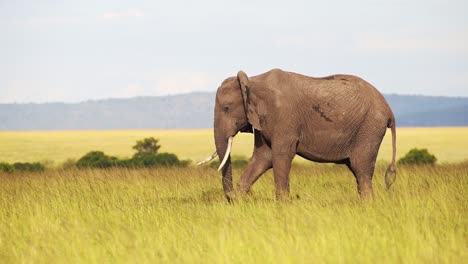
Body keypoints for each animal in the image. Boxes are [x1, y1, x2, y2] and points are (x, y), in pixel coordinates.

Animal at [197, 69, 394, 201]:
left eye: (226, 108)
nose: (230, 196)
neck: (252, 81)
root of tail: (388, 109)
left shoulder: (285, 118)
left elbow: (280, 156)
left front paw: (282, 205)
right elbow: (262, 157)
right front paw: (238, 199)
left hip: (370, 128)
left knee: (361, 168)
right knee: (358, 170)